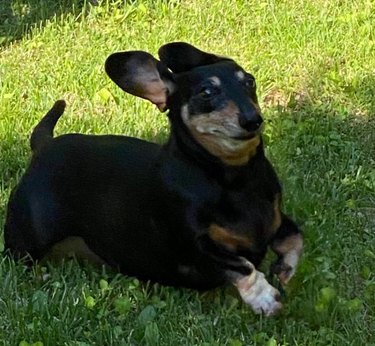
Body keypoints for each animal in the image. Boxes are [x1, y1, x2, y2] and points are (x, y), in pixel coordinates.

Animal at [3, 42, 302, 314]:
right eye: (206, 92)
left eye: (249, 81)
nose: (253, 120)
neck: (235, 179)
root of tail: (44, 145)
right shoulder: (198, 244)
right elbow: (242, 265)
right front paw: (264, 297)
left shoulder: (277, 218)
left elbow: (294, 238)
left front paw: (284, 268)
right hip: (27, 241)